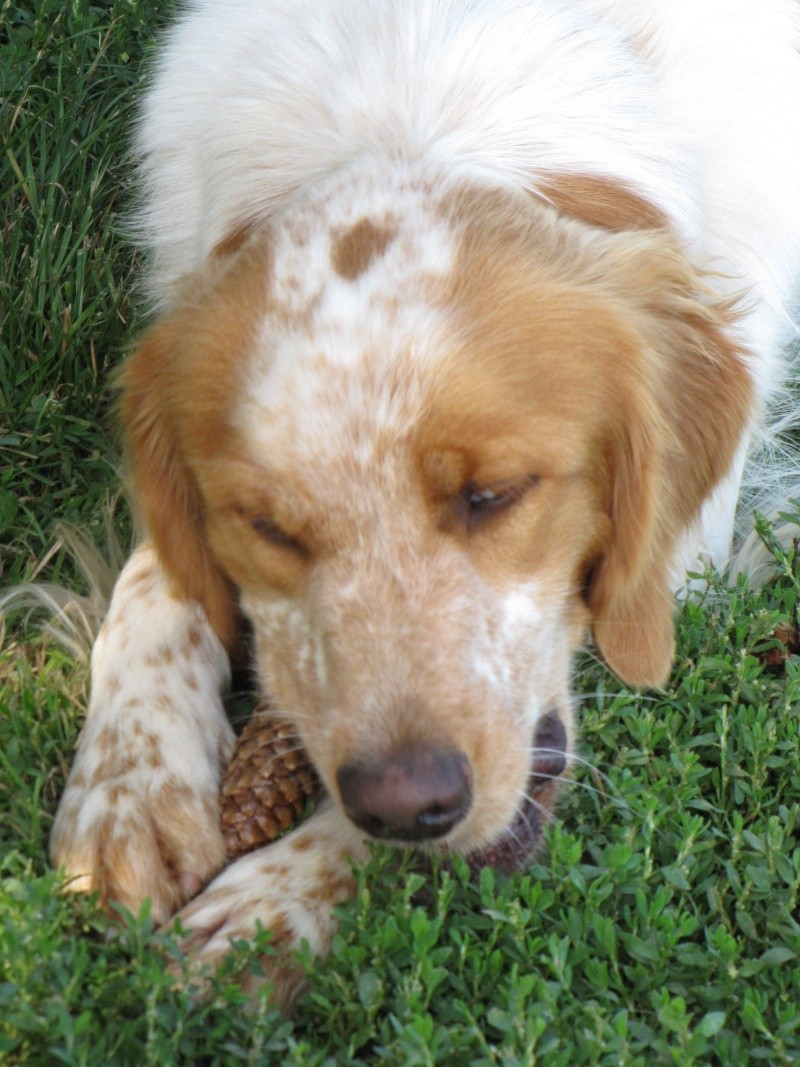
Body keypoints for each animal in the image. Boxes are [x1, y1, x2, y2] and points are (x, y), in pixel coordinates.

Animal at [50, 0, 800, 1002]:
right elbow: (154, 578)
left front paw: (275, 900)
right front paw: (127, 782)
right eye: (268, 526)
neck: (420, 116)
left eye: (495, 493)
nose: (406, 804)